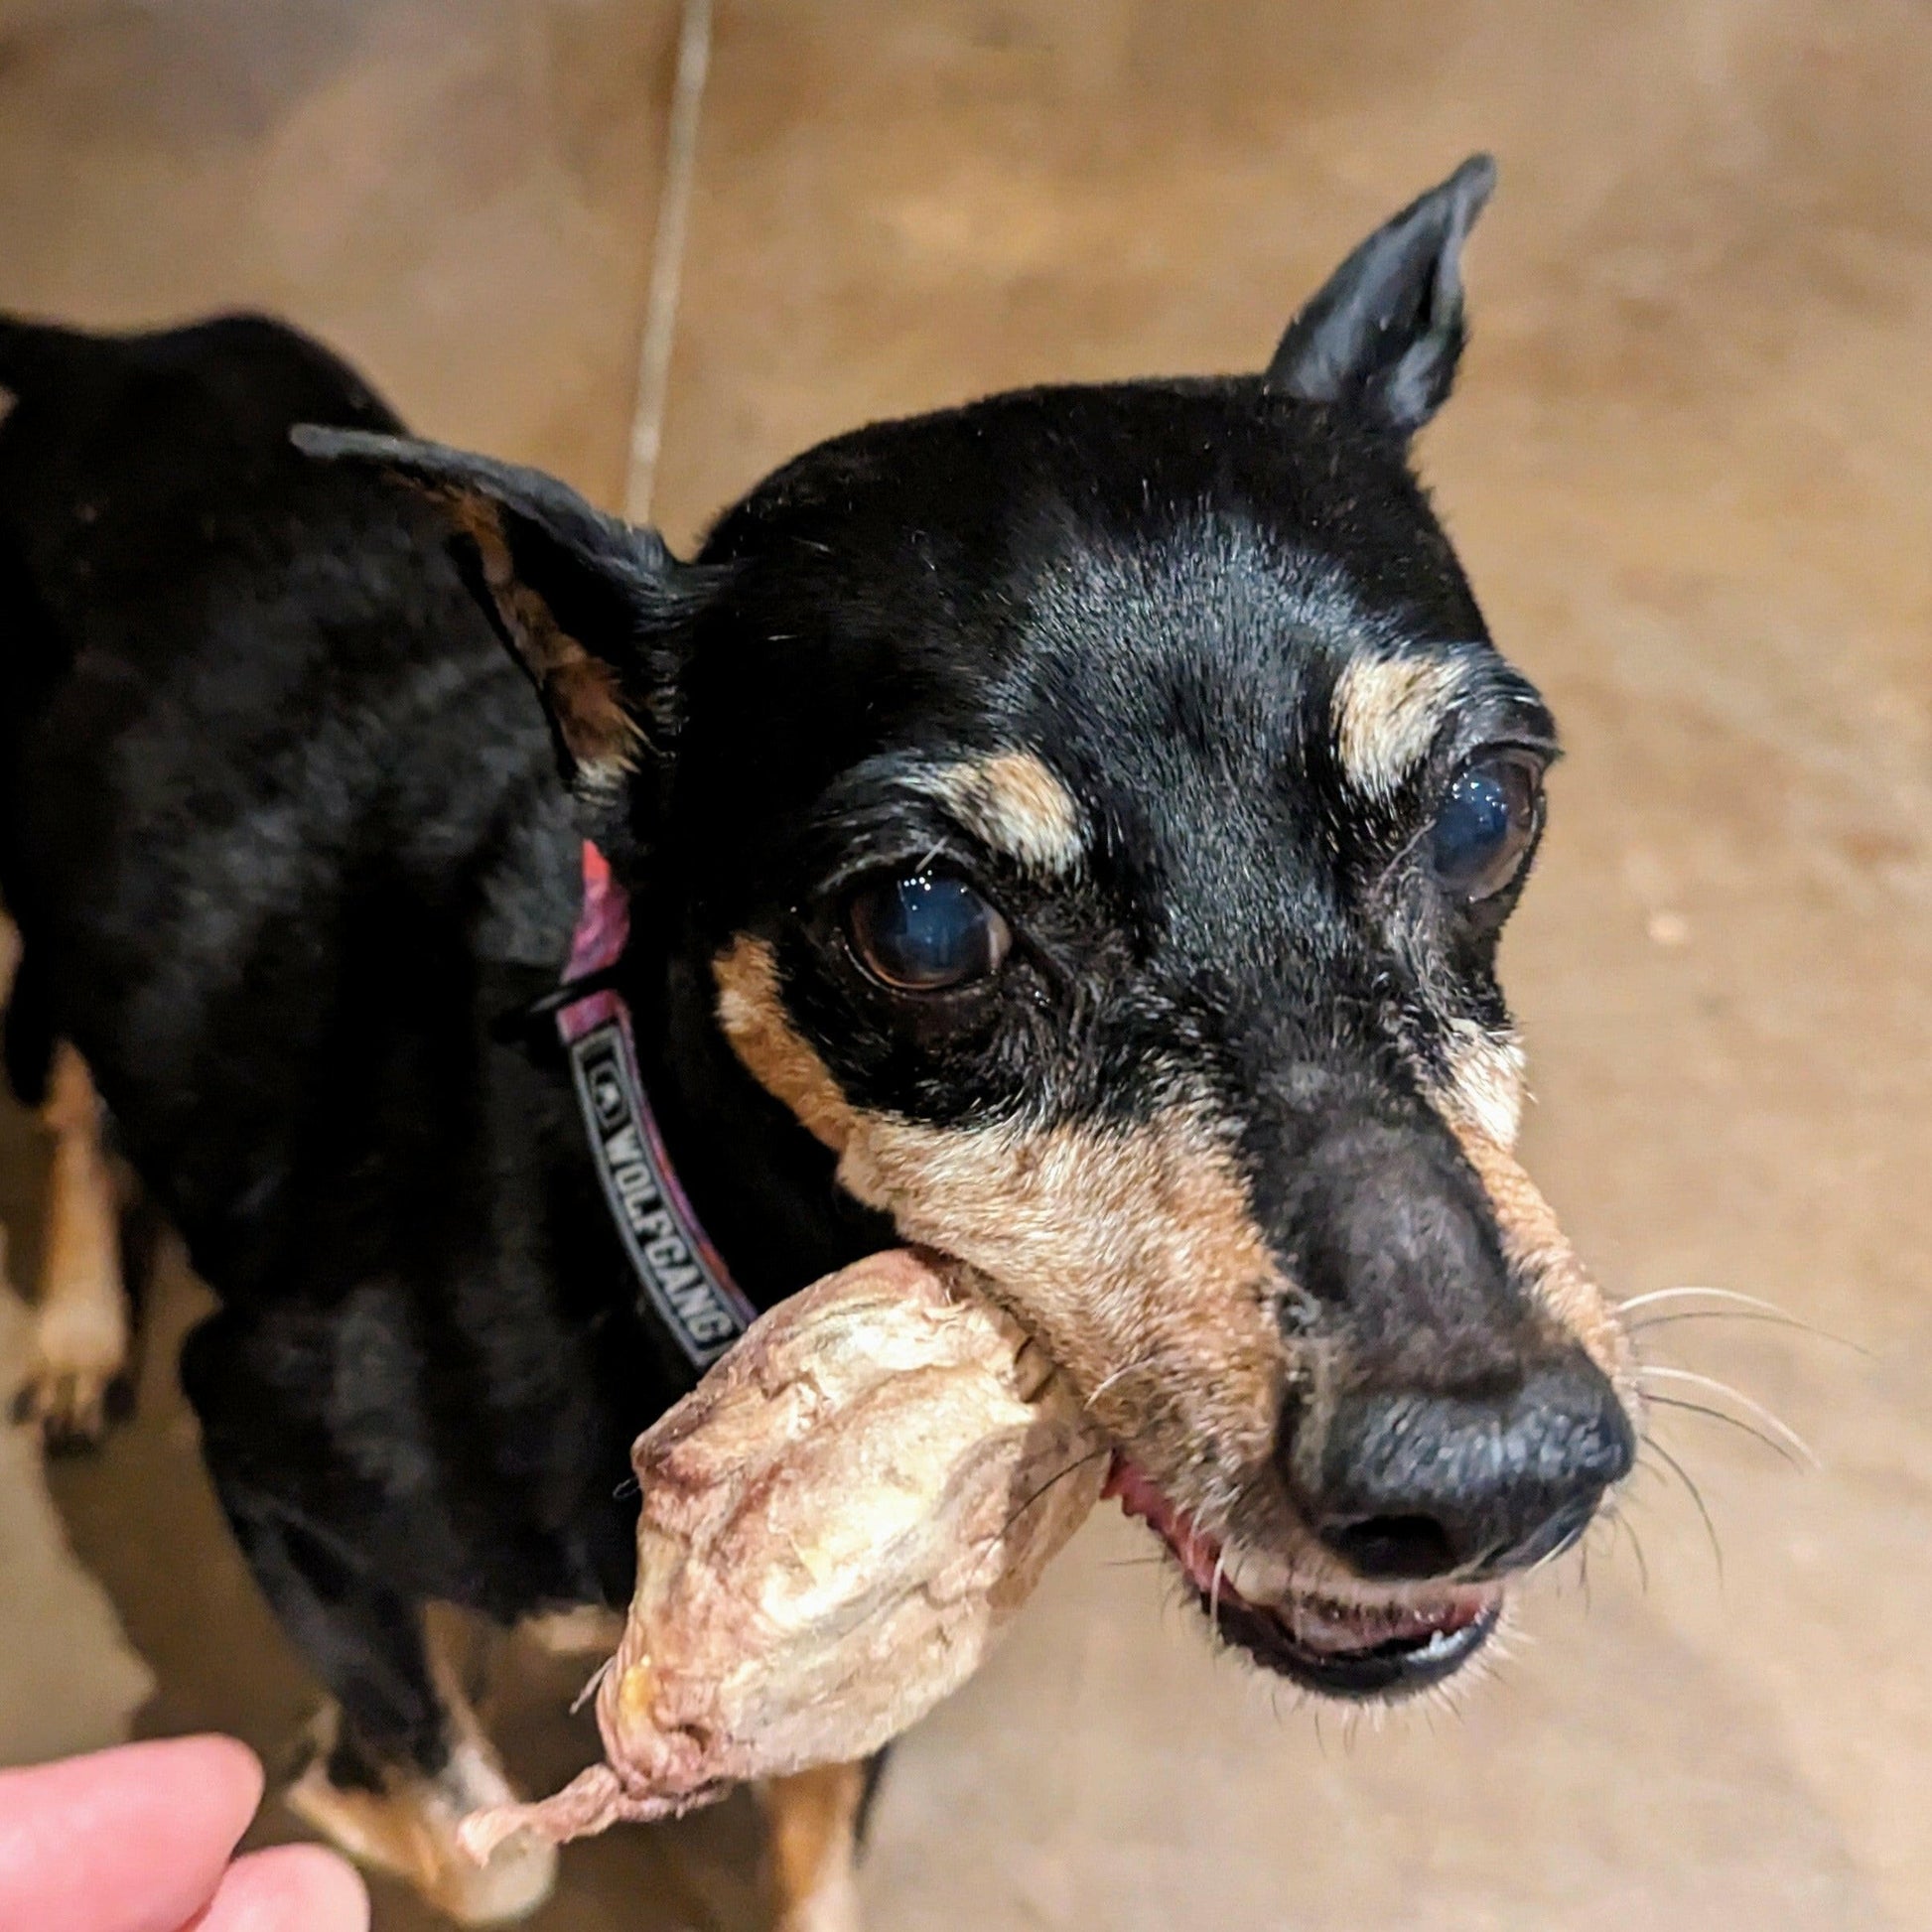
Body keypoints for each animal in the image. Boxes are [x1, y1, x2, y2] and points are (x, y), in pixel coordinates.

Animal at [0, 158, 1630, 1924]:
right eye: (922, 924)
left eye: (1485, 810)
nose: (1495, 1466)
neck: (651, 1231)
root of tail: (98, 357)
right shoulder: (264, 1440)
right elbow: (482, 1840)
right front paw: (348, 1767)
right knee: (68, 1086)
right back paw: (79, 1328)